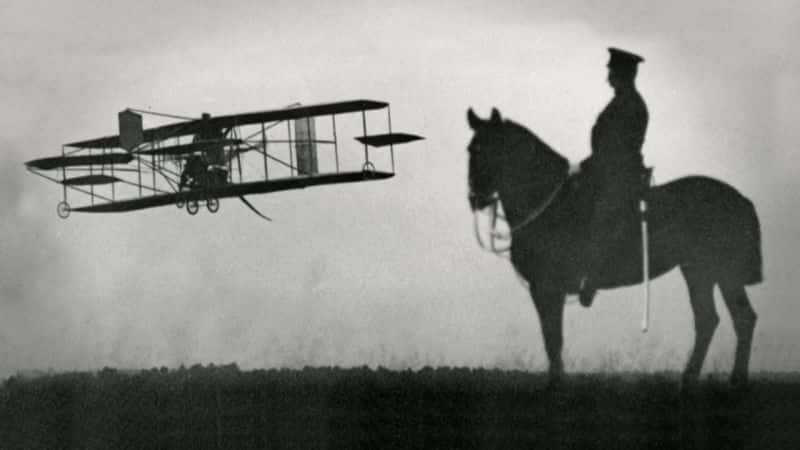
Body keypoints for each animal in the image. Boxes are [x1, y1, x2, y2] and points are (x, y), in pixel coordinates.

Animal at [468, 108, 764, 386]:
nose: (475, 198)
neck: (551, 206)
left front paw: (555, 385)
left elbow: (553, 340)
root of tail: (741, 198)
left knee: (733, 319)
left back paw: (727, 380)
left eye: (487, 149)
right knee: (718, 319)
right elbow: (552, 339)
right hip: (701, 271)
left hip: (720, 271)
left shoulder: (546, 288)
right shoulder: (546, 290)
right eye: (470, 149)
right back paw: (698, 380)